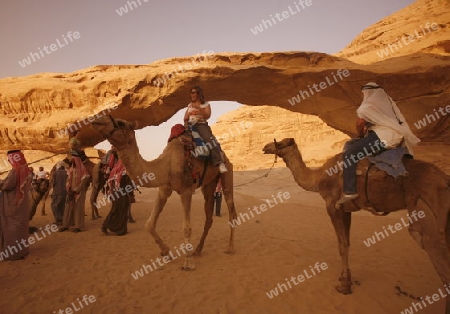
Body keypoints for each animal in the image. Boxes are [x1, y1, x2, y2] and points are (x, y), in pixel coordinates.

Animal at [91, 115, 239, 270]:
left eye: (120, 123)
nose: (97, 119)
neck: (166, 164)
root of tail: (225, 156)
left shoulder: (186, 190)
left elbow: (186, 227)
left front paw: (188, 263)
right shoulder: (164, 189)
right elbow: (149, 224)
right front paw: (166, 251)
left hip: (227, 173)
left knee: (231, 210)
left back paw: (230, 248)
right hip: (209, 184)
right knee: (209, 215)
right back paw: (198, 250)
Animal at [264, 138, 450, 314]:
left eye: (279, 143)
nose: (265, 147)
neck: (318, 177)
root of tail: (445, 181)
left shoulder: (332, 205)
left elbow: (342, 245)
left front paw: (345, 285)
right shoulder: (346, 209)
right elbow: (347, 242)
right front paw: (344, 277)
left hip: (429, 219)